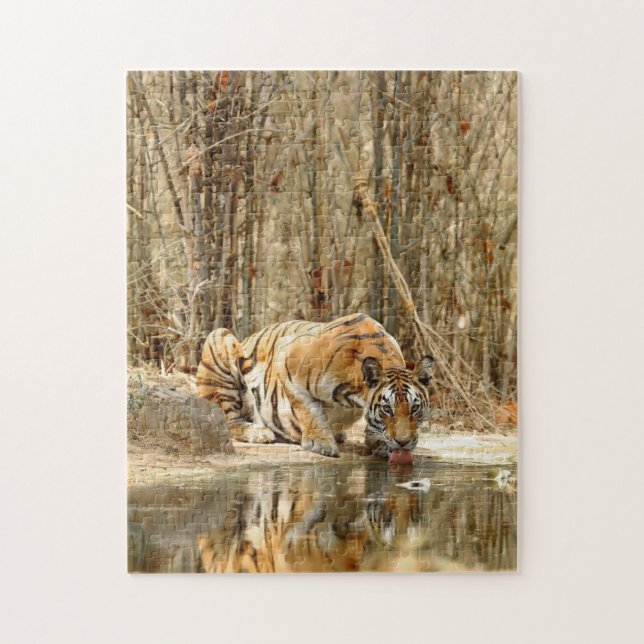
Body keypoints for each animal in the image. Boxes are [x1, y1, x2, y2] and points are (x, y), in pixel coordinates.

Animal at [196, 312, 433, 459]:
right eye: (386, 409)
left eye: (415, 408)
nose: (403, 443)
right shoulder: (286, 359)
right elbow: (308, 410)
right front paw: (322, 443)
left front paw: (379, 443)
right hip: (219, 339)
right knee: (228, 420)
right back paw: (258, 432)